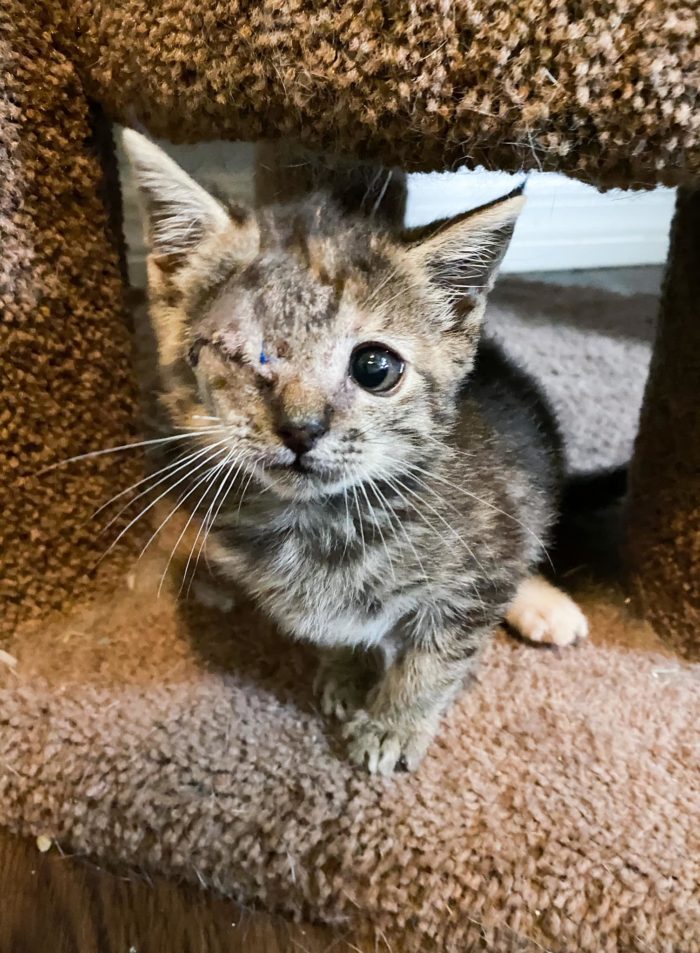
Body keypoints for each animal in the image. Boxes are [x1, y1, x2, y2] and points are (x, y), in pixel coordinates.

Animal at [124, 130, 588, 775]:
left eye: (374, 367)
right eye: (240, 353)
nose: (300, 428)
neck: (320, 523)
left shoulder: (486, 556)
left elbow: (437, 656)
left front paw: (394, 723)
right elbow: (337, 631)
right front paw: (344, 674)